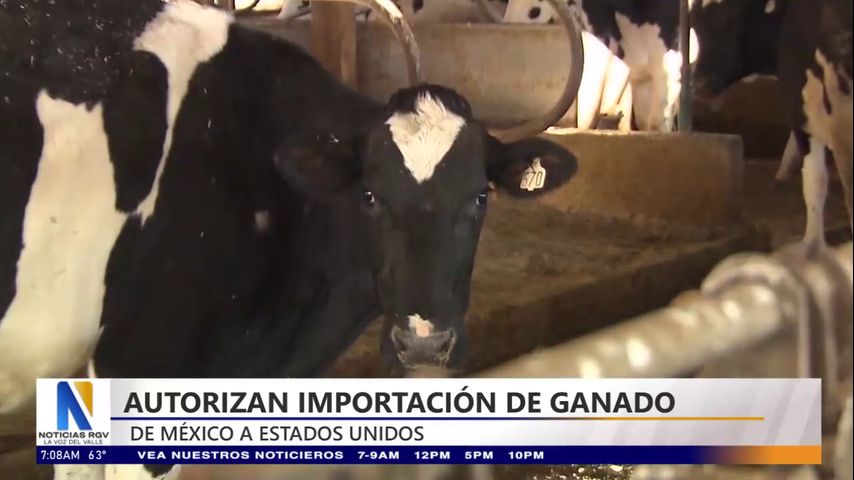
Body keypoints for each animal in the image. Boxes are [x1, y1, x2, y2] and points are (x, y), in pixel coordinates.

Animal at [691, 0, 853, 252]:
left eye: (733, 19)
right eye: (695, 24)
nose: (699, 84)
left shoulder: (803, 115)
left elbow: (814, 183)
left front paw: (812, 245)